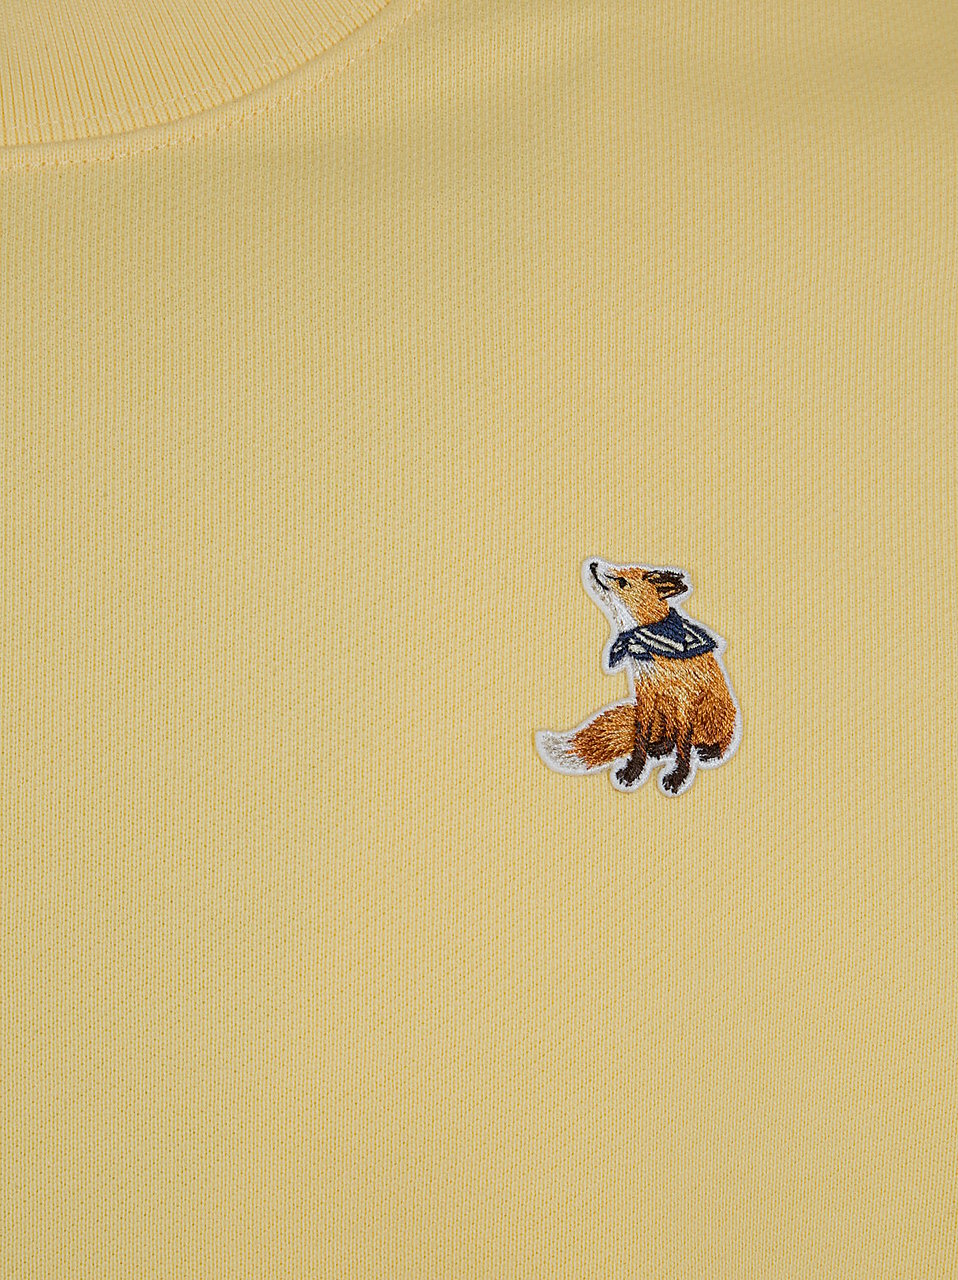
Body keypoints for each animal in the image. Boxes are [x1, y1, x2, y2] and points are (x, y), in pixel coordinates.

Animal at [536, 558, 741, 796]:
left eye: (622, 581)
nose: (594, 563)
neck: (648, 642)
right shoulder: (646, 694)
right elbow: (641, 738)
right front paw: (633, 771)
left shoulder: (684, 701)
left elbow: (683, 746)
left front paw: (679, 777)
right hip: (664, 710)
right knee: (669, 736)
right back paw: (660, 747)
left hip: (712, 711)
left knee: (718, 739)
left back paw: (712, 751)